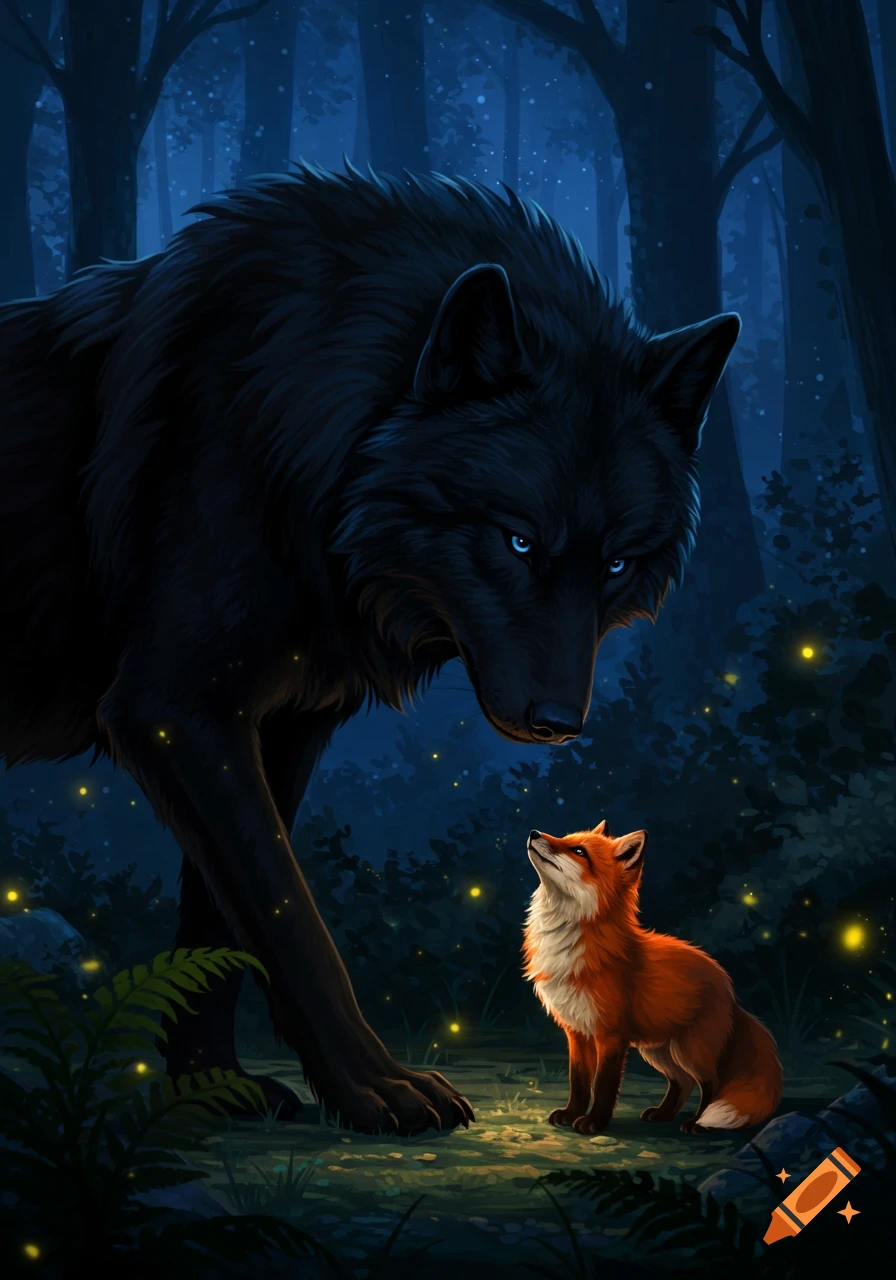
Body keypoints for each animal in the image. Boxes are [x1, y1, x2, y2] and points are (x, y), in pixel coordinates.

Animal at [0, 164, 739, 1134]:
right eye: (517, 541)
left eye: (616, 562)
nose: (557, 724)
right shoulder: (172, 710)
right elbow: (290, 919)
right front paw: (373, 1087)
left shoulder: (278, 726)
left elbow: (220, 920)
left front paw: (211, 1087)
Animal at [524, 823, 782, 1135]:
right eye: (565, 838)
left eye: (579, 851)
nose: (534, 833)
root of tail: (729, 989)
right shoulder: (577, 1032)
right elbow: (579, 1082)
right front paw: (570, 1113)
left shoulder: (611, 1035)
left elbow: (603, 1085)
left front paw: (594, 1121)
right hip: (660, 1052)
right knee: (682, 1083)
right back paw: (662, 1114)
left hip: (690, 1051)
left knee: (711, 1083)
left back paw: (697, 1124)